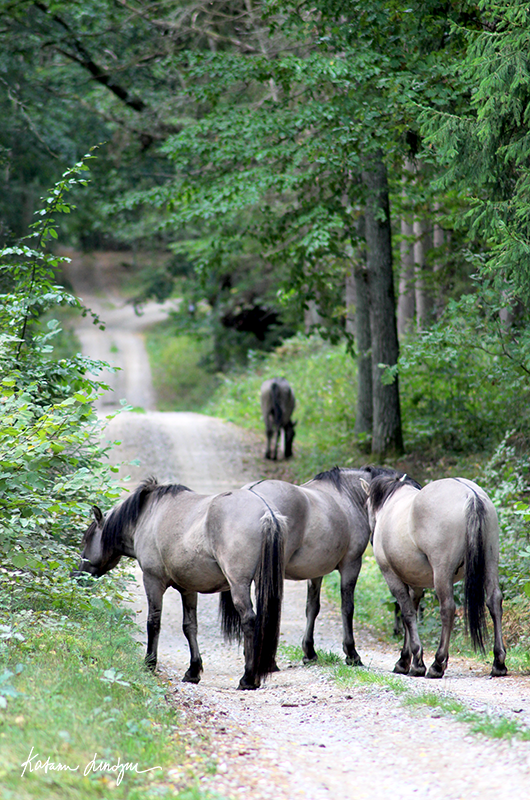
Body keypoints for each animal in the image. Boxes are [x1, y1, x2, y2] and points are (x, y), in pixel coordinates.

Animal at [72, 478, 286, 692]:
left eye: (87, 540)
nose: (77, 575)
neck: (146, 516)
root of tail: (266, 512)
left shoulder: (152, 581)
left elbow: (153, 622)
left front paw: (149, 663)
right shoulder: (188, 589)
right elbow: (189, 626)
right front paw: (193, 671)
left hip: (238, 585)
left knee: (249, 620)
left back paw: (248, 678)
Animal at [221, 466, 402, 664]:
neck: (349, 495)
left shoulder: (316, 571)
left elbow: (312, 608)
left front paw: (309, 651)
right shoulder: (351, 565)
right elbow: (347, 608)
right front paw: (351, 653)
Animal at [360, 472, 506, 680]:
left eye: (366, 505)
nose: (372, 540)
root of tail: (471, 495)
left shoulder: (392, 576)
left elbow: (407, 614)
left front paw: (416, 662)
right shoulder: (416, 584)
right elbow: (411, 614)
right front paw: (405, 660)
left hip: (442, 572)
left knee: (447, 609)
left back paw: (437, 664)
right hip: (490, 562)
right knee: (494, 601)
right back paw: (498, 662)